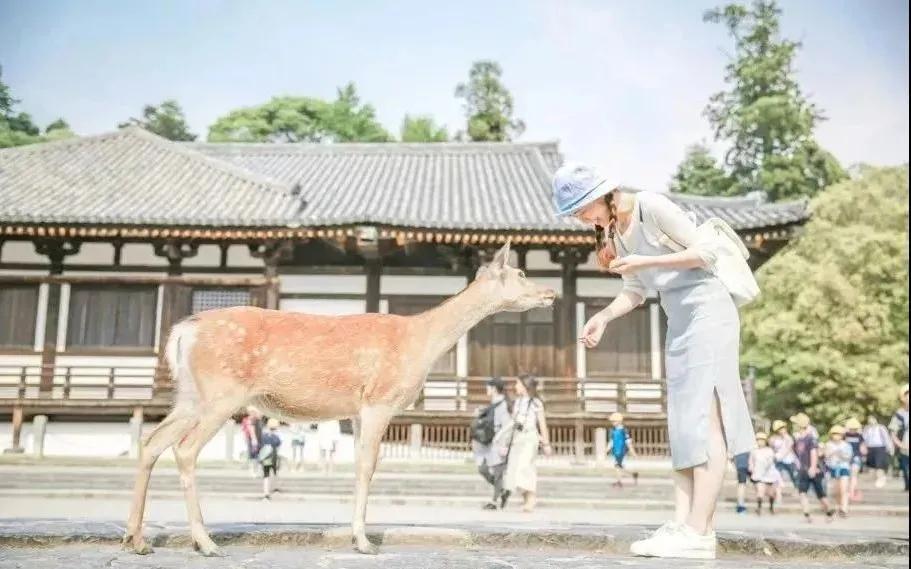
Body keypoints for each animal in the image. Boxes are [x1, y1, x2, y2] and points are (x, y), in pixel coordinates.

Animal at [122, 241, 556, 556]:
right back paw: (205, 542)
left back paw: (136, 540)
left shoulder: (358, 410)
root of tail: (183, 331)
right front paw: (363, 542)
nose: (550, 292)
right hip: (221, 392)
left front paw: (357, 535)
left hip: (190, 395)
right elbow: (367, 467)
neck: (420, 342)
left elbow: (359, 467)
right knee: (184, 448)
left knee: (151, 441)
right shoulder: (379, 398)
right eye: (520, 273)